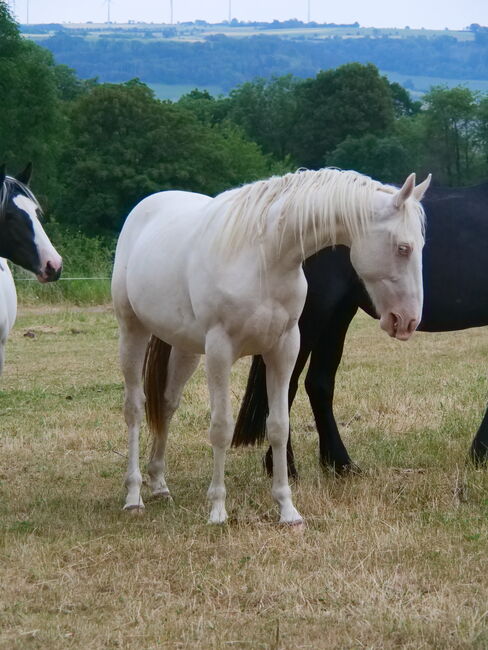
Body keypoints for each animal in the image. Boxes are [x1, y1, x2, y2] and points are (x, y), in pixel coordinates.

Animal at [111, 166, 430, 520]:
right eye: (403, 248)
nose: (408, 321)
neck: (263, 257)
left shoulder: (283, 348)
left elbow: (278, 426)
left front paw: (287, 509)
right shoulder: (220, 352)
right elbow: (221, 428)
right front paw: (218, 510)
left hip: (185, 348)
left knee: (167, 404)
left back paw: (160, 485)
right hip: (133, 332)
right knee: (135, 408)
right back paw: (134, 495)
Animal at [234, 180, 488, 474]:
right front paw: (481, 453)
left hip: (338, 314)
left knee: (318, 382)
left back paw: (340, 463)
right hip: (312, 316)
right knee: (286, 385)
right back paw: (286, 467)